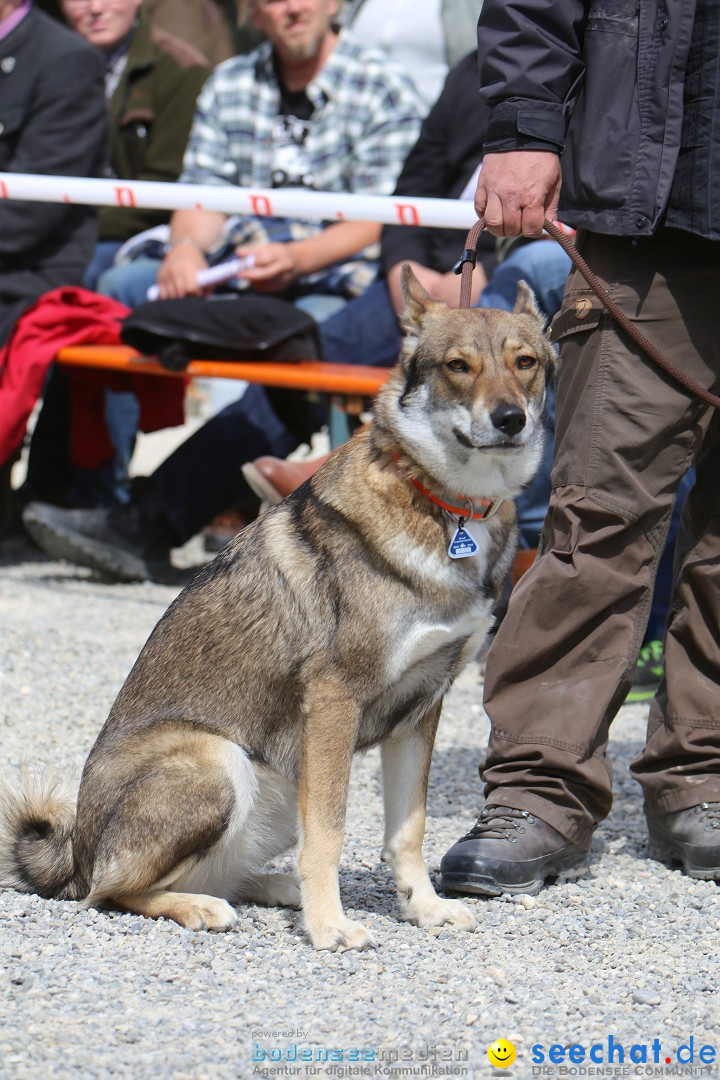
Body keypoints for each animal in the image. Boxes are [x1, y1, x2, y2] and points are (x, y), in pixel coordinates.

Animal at [0, 270, 557, 954]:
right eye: (458, 366)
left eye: (525, 363)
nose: (510, 419)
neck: (447, 507)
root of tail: (74, 849)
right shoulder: (334, 701)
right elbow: (331, 832)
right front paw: (328, 926)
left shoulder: (422, 709)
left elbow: (408, 830)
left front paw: (423, 909)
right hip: (218, 763)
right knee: (110, 890)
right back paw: (201, 906)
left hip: (276, 791)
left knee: (208, 873)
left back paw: (270, 889)